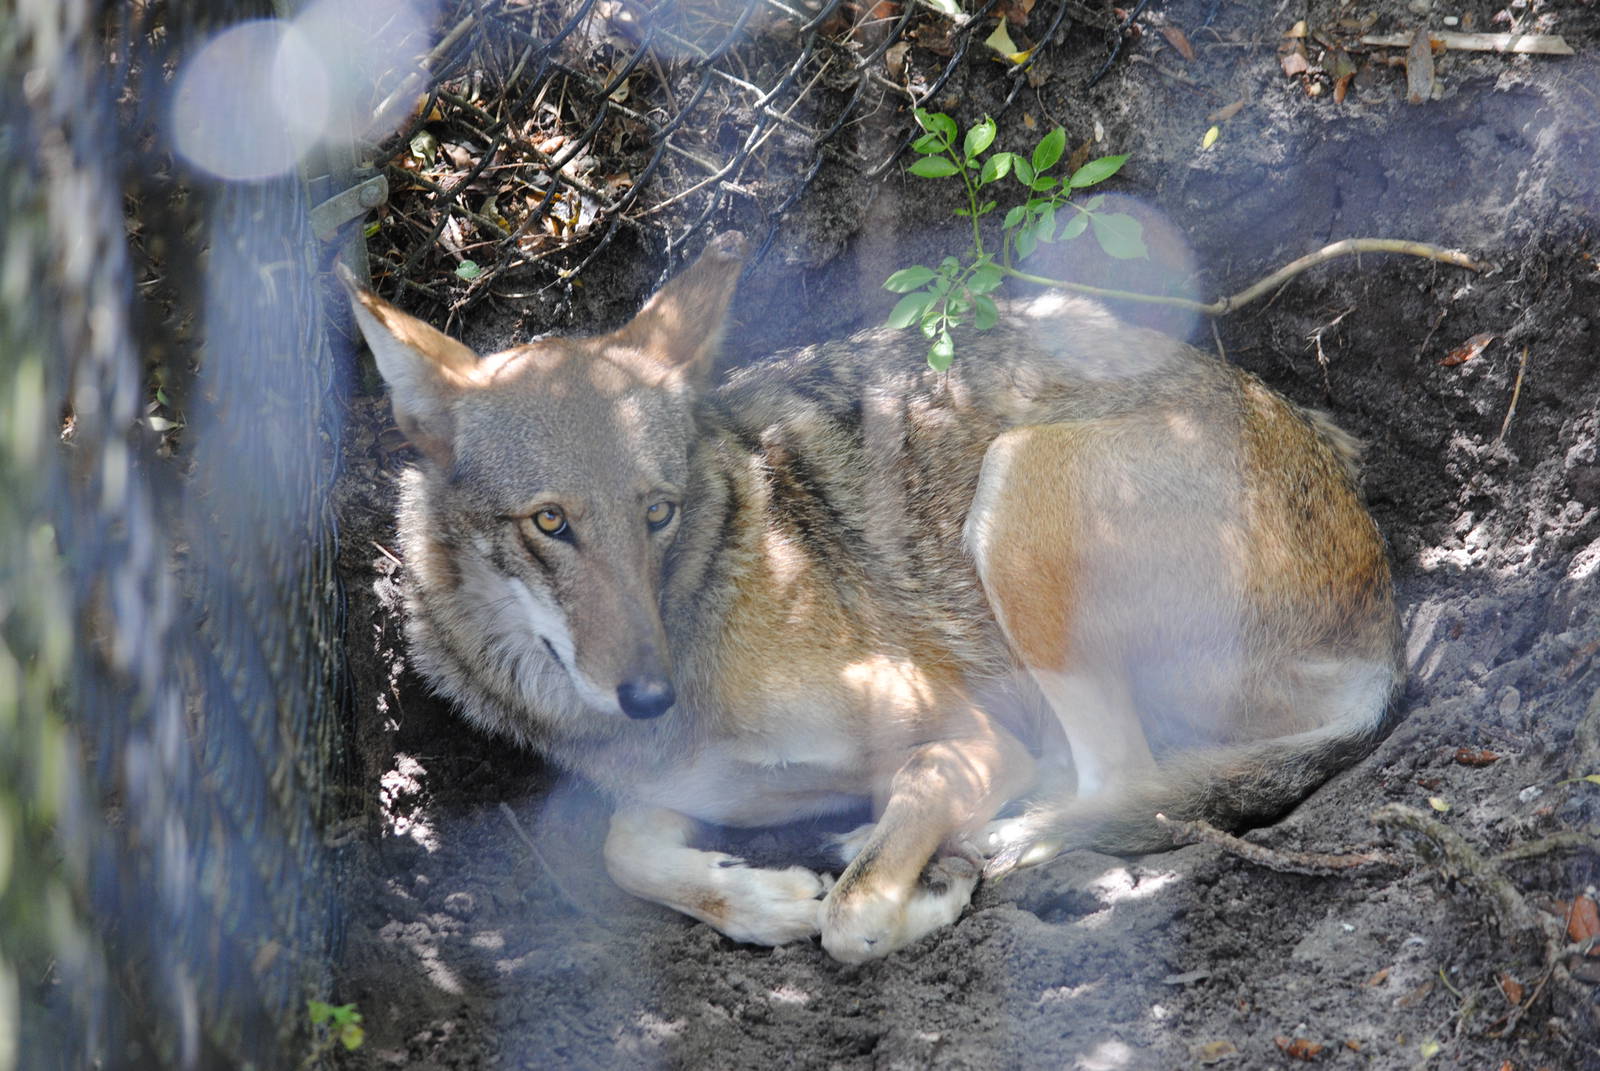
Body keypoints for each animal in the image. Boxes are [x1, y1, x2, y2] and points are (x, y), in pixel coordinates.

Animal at [341, 231, 1402, 963]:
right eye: (550, 522)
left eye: (657, 511)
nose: (647, 694)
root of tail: (1384, 635)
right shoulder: (691, 791)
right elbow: (622, 844)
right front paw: (757, 898)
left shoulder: (971, 732)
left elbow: (852, 917)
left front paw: (921, 891)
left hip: (1012, 500)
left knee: (1115, 781)